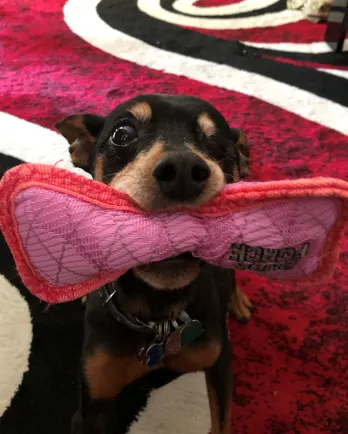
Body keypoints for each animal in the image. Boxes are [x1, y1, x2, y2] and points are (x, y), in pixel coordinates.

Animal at [56, 94, 253, 434]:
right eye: (122, 133)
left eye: (216, 142)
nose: (184, 170)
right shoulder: (91, 403)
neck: (157, 316)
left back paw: (237, 301)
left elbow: (222, 422)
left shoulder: (219, 362)